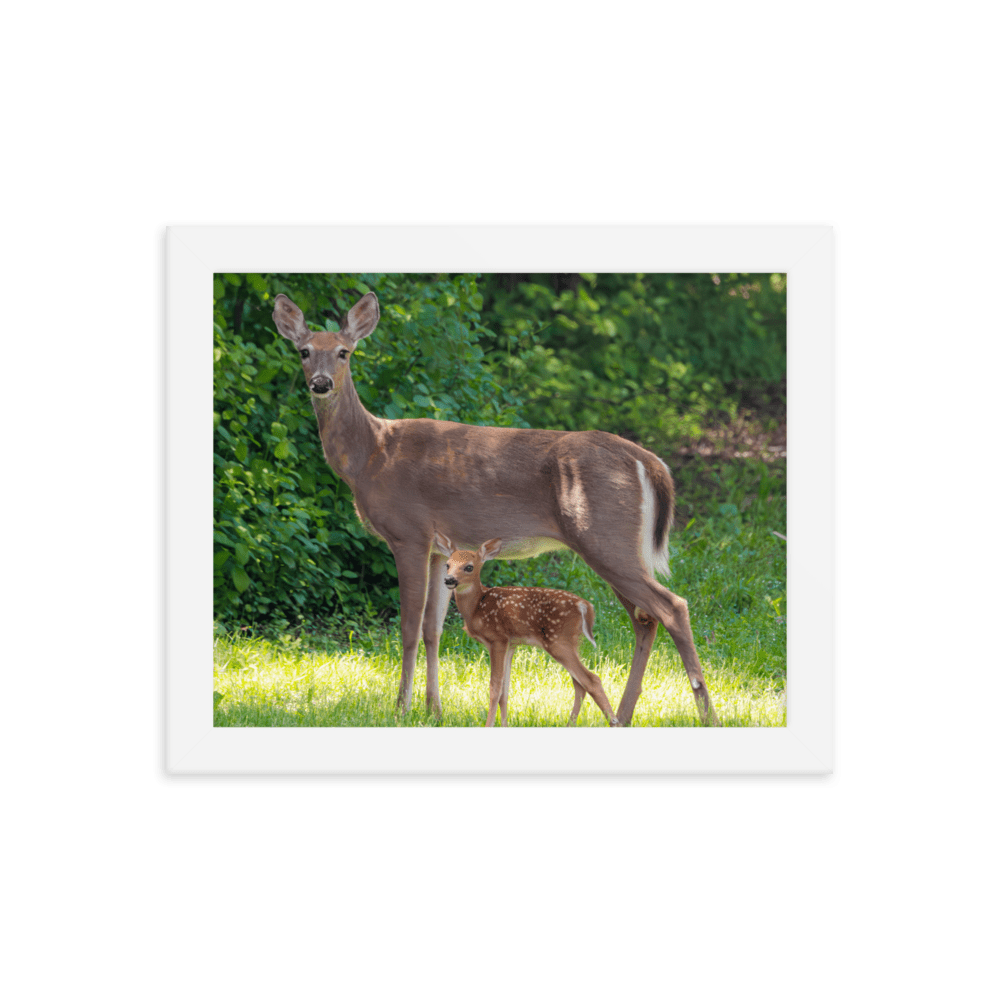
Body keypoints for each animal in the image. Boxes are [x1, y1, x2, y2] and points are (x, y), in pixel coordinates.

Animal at [436, 532, 616, 728]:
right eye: (447, 565)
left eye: (469, 567)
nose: (449, 580)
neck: (476, 607)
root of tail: (585, 606)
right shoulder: (511, 644)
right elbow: (505, 691)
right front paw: (504, 726)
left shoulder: (497, 639)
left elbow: (494, 688)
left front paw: (489, 726)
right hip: (571, 642)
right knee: (579, 684)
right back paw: (571, 724)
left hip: (558, 641)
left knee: (591, 680)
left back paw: (615, 721)